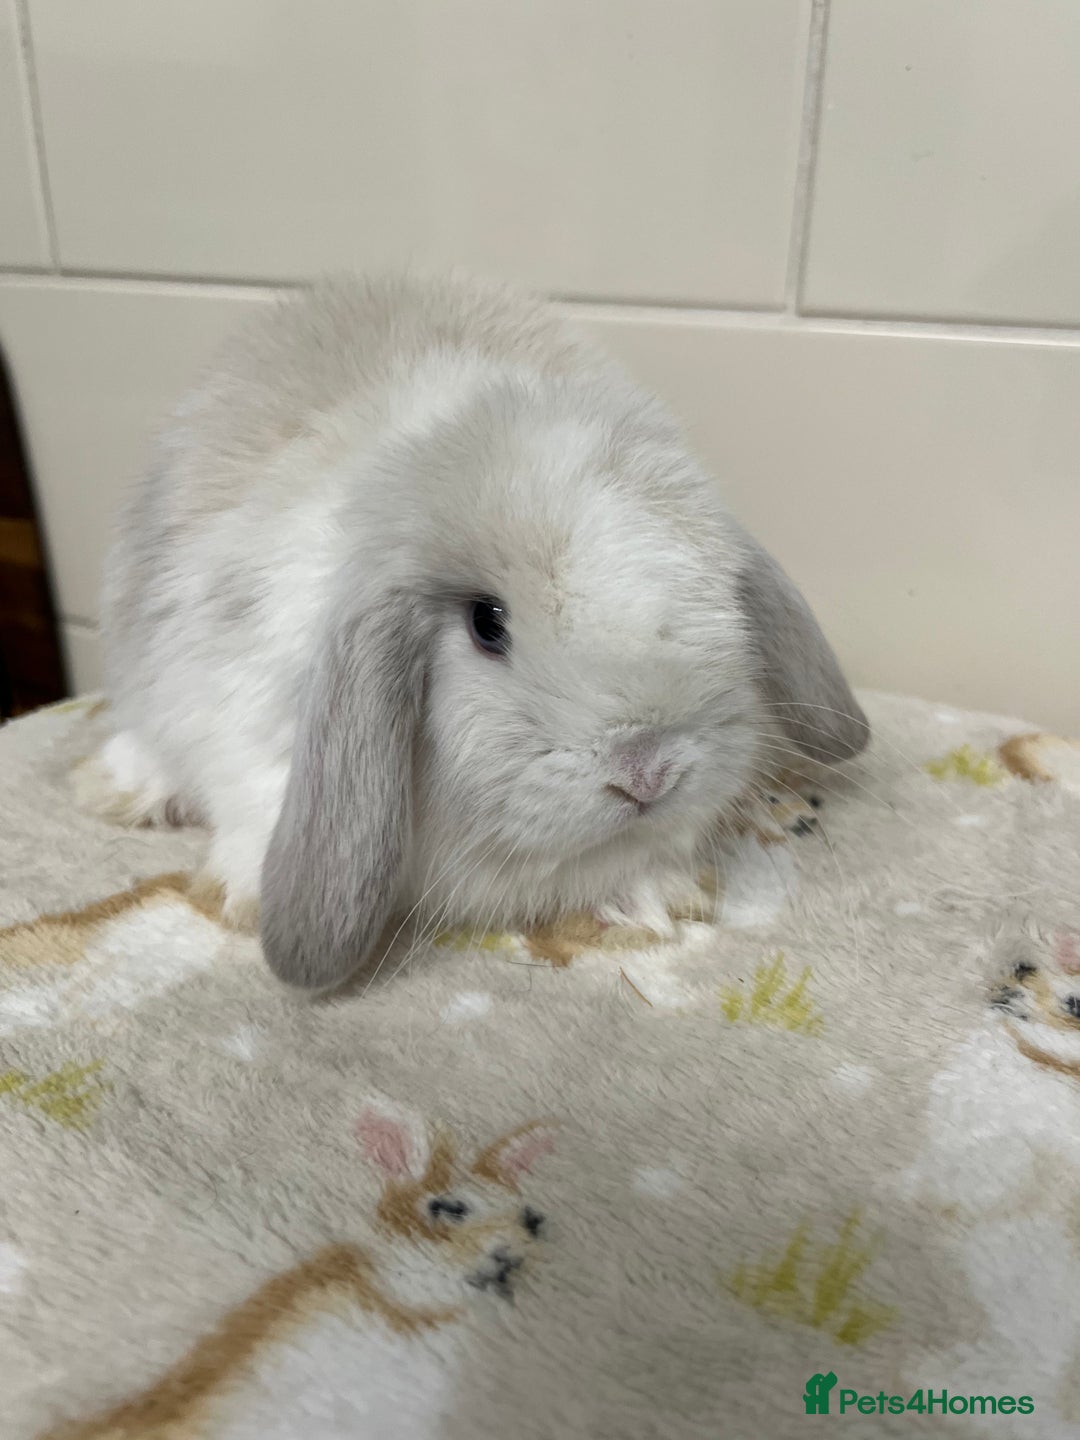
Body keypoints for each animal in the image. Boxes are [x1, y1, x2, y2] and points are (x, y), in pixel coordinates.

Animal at [87, 270, 869, 990]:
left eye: (716, 588)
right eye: (487, 624)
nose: (647, 773)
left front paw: (657, 897)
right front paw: (244, 899)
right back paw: (121, 788)